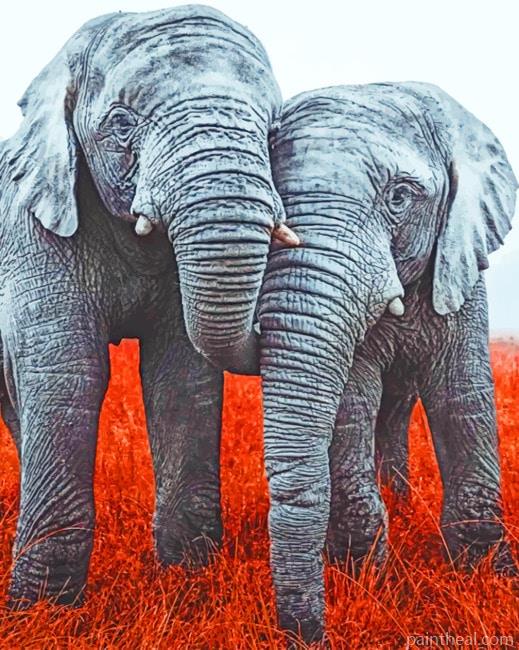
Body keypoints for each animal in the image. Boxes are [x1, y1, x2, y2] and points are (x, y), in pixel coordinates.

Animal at [0, 5, 297, 607]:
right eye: (120, 124)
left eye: (274, 128)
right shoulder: (31, 227)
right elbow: (66, 374)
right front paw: (44, 609)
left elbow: (180, 377)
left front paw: (188, 579)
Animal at [258, 82, 517, 643]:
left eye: (399, 197)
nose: (309, 636)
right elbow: (352, 400)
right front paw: (363, 578)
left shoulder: (460, 269)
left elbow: (462, 394)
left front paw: (488, 576)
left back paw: (401, 501)